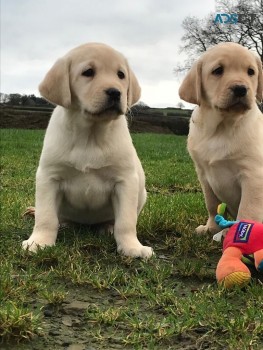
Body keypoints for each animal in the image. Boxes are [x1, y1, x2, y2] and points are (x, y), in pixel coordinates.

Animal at [23, 42, 155, 258]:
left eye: (121, 74)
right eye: (88, 72)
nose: (115, 92)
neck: (90, 135)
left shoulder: (125, 180)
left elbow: (126, 222)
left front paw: (132, 247)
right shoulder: (49, 177)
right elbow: (46, 217)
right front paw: (39, 242)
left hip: (141, 193)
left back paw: (108, 227)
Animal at [179, 42, 263, 234]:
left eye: (251, 72)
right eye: (218, 70)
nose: (241, 89)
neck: (221, 128)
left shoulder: (253, 175)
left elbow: (248, 209)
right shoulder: (203, 174)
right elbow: (212, 204)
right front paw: (211, 228)